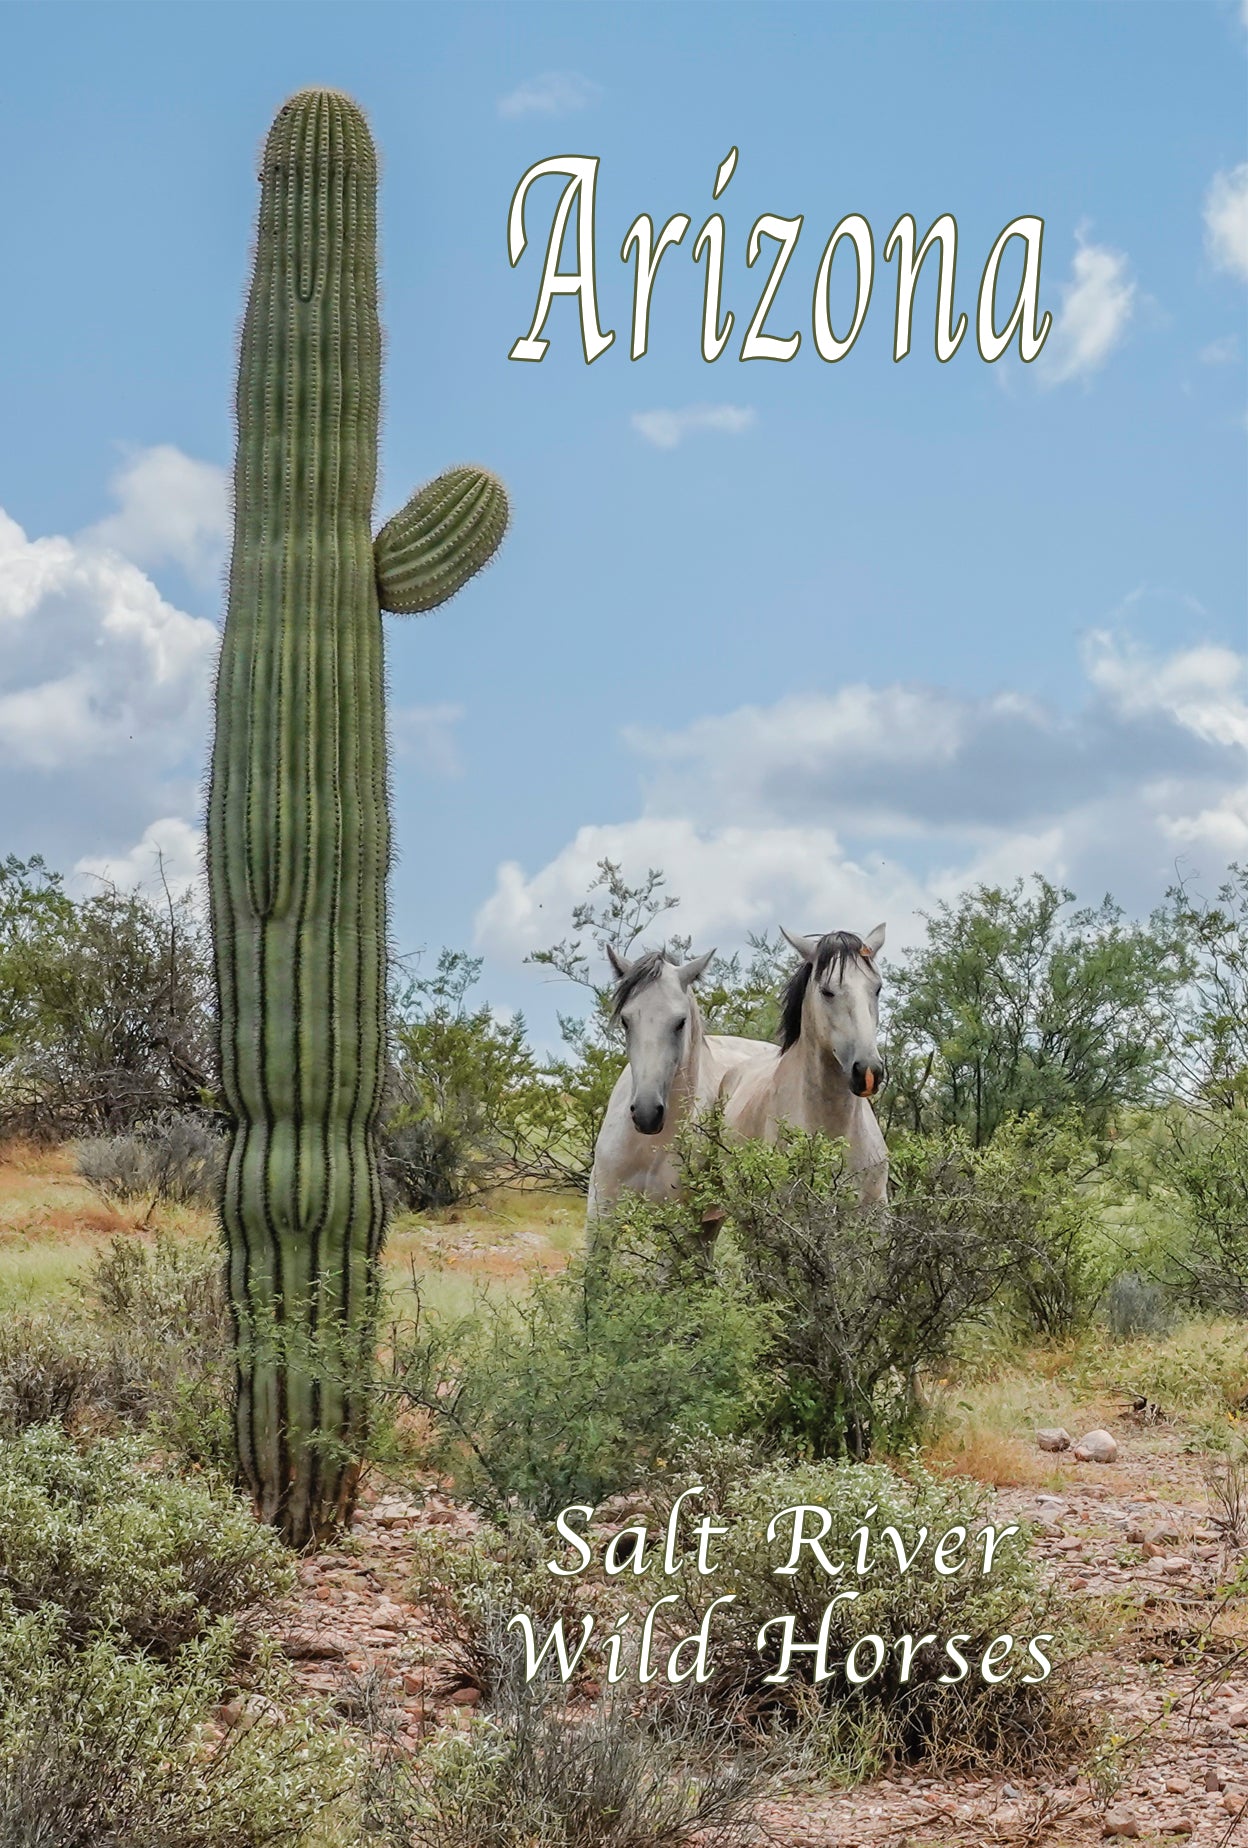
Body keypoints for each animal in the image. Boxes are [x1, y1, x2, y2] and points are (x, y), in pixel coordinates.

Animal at [585, 945, 774, 1233]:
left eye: (680, 1022)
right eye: (626, 1021)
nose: (647, 1114)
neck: (645, 1147)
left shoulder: (679, 1226)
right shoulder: (601, 1213)